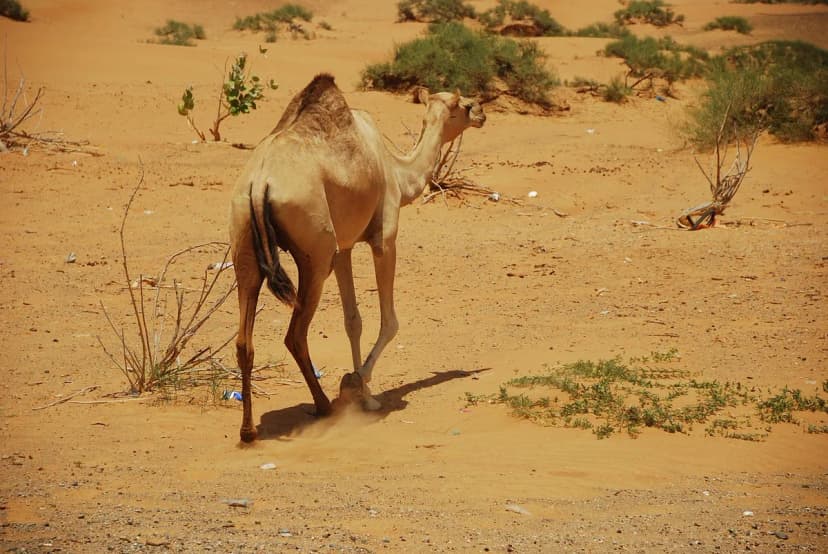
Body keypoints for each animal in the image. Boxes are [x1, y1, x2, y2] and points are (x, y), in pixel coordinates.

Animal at [229, 74, 486, 442]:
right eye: (465, 105)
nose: (482, 112)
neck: (398, 173)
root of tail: (260, 183)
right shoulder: (384, 238)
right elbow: (389, 321)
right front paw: (358, 387)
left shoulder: (345, 247)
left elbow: (353, 320)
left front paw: (361, 389)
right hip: (315, 251)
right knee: (295, 334)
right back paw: (323, 405)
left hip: (244, 244)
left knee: (244, 340)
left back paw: (248, 430)